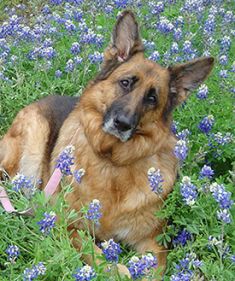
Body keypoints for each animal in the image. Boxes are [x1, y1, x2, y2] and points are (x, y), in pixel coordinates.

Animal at [0, 11, 213, 278]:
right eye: (126, 83)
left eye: (152, 98)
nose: (122, 123)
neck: (112, 159)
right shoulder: (67, 224)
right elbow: (99, 257)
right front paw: (118, 269)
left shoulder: (153, 240)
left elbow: (153, 269)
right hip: (32, 140)